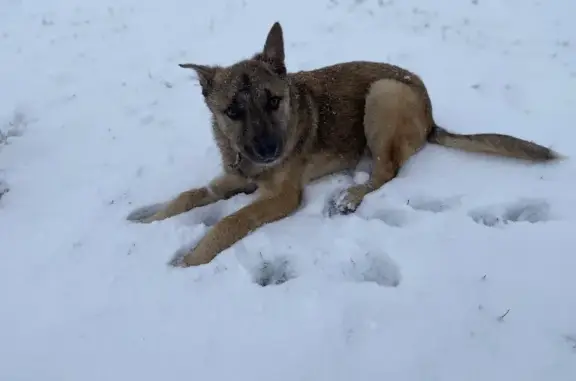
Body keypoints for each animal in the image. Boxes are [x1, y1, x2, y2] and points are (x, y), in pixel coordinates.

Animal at [127, 20, 564, 264]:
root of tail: (430, 114)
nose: (270, 152)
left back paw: (351, 196)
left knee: (387, 172)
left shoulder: (282, 197)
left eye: (273, 101)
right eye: (232, 111)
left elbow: (232, 220)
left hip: (383, 95)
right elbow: (187, 196)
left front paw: (192, 257)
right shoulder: (231, 177)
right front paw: (148, 218)